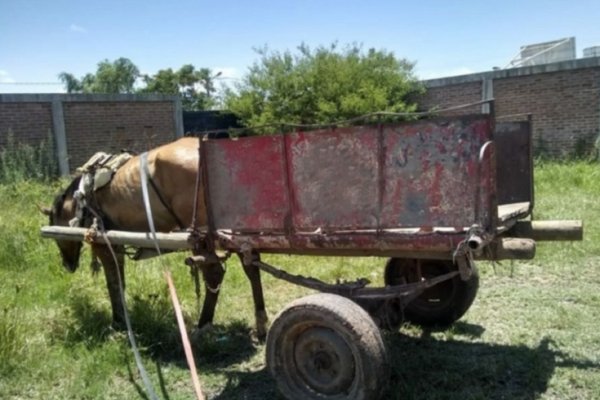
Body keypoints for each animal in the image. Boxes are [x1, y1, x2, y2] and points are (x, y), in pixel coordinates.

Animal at [41, 137, 268, 338]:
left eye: (57, 236)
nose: (68, 265)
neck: (83, 199)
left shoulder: (105, 245)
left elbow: (114, 283)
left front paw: (118, 322)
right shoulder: (117, 245)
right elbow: (119, 282)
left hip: (200, 238)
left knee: (215, 274)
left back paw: (203, 324)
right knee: (251, 267)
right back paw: (260, 325)